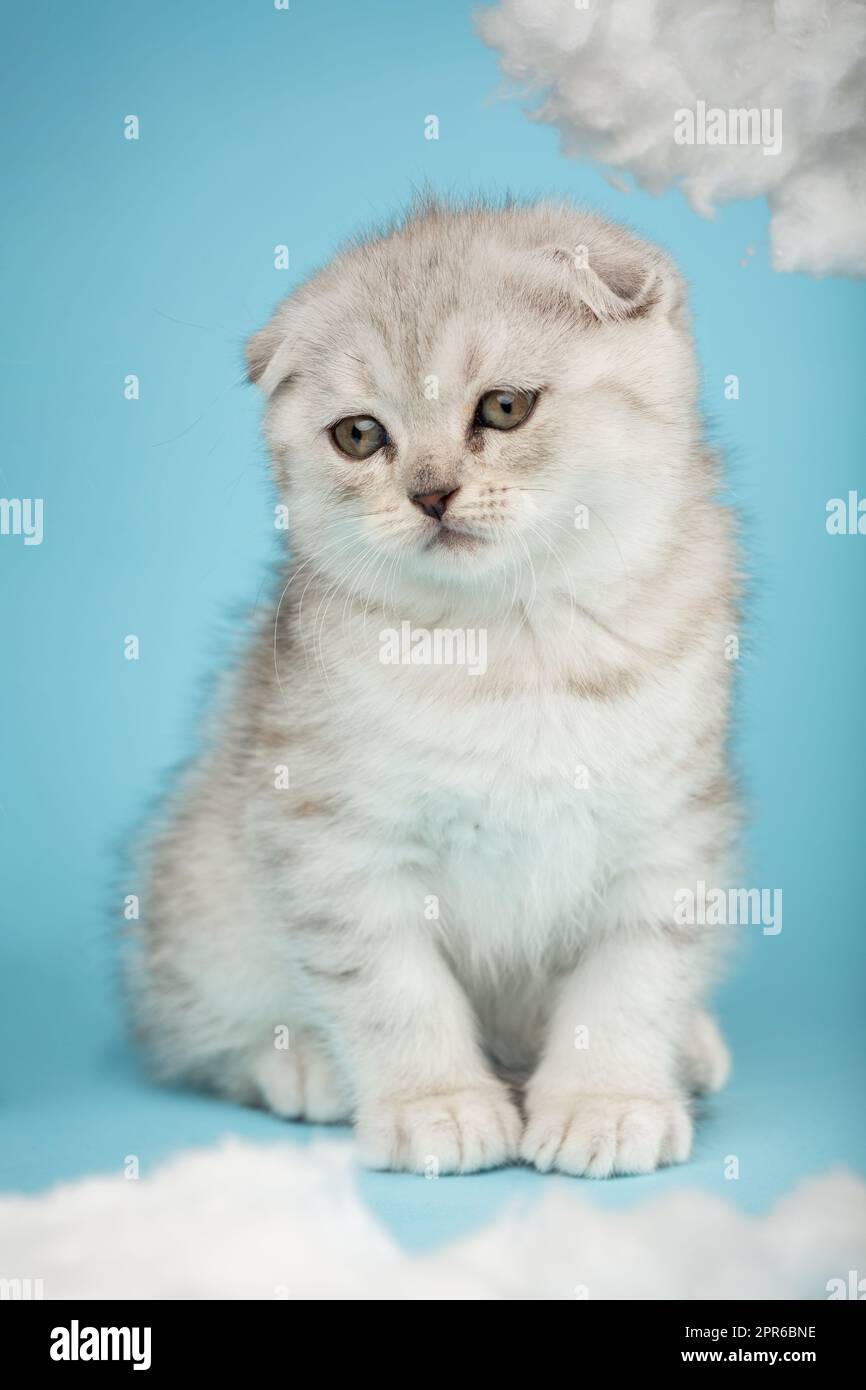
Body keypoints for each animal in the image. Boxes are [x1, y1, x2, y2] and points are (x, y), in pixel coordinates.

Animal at [130, 198, 739, 1173]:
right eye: (359, 435)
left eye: (504, 407)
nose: (431, 492)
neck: (514, 642)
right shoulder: (335, 837)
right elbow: (392, 987)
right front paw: (437, 1106)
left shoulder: (668, 827)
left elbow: (634, 977)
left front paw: (606, 1101)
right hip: (202, 885)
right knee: (200, 1024)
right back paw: (301, 1060)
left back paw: (690, 1047)